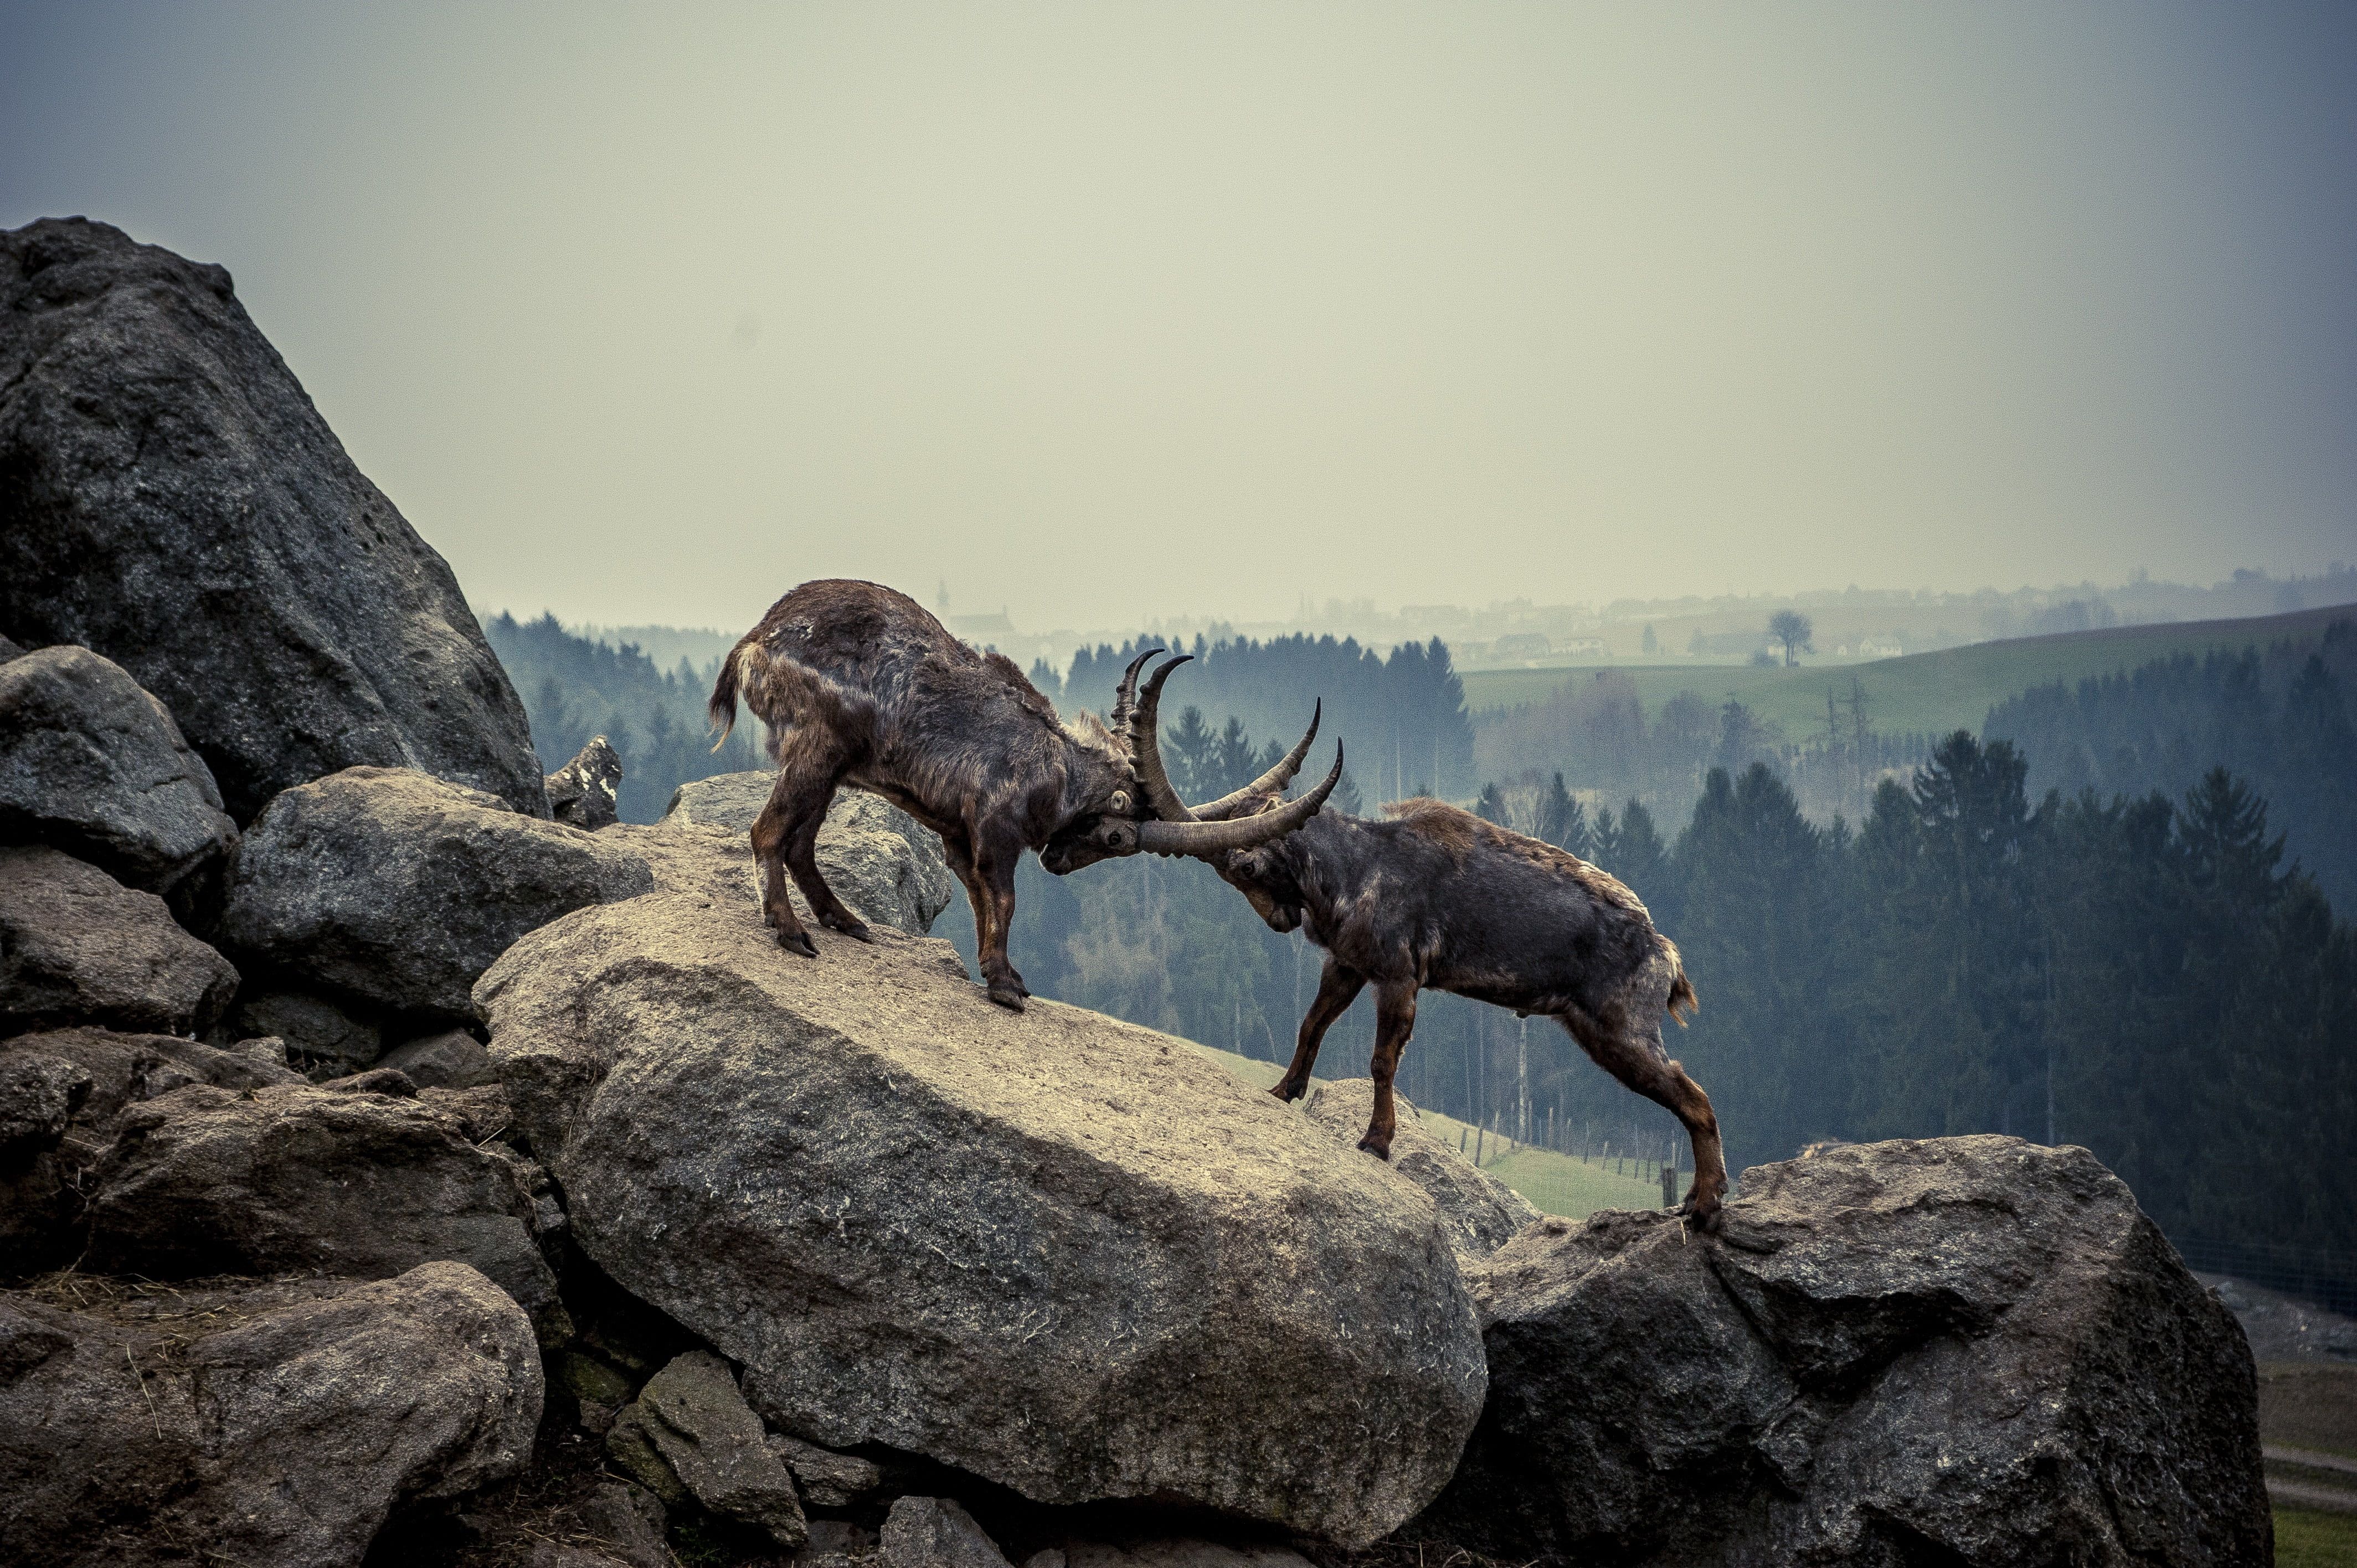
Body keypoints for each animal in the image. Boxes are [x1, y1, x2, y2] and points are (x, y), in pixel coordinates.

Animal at [708, 581, 1340, 1010]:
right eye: (1117, 836)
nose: (1056, 861)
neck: (1056, 766)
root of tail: (752, 644)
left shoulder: (957, 836)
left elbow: (979, 898)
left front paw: (998, 973)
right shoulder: (995, 827)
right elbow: (1005, 899)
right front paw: (1006, 987)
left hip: (832, 767)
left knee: (799, 843)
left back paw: (845, 922)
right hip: (818, 750)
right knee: (767, 832)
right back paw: (790, 932)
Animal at [1196, 788, 1726, 1226]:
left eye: (1248, 868)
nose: (1281, 921)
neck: (1356, 867)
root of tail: (1664, 954)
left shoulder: (1398, 976)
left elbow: (1382, 1061)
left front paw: (1376, 1142)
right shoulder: (1347, 965)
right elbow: (1311, 1025)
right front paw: (1283, 1091)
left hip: (1622, 1031)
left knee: (1696, 1099)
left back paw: (1704, 1205)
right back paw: (1696, 1200)